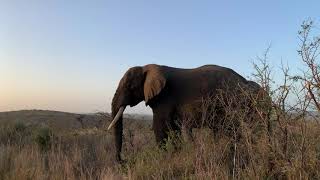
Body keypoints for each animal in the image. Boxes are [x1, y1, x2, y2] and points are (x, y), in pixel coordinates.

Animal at [108, 64, 270, 161]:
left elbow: (160, 127)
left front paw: (164, 158)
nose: (123, 160)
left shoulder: (164, 97)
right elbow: (173, 129)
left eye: (129, 86)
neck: (146, 67)